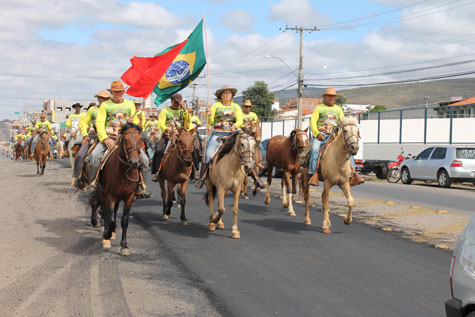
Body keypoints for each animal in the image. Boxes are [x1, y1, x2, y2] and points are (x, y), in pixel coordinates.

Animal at [89, 122, 145, 256]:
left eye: (140, 139)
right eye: (125, 139)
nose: (135, 162)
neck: (122, 172)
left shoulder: (129, 196)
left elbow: (124, 220)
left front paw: (124, 245)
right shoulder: (110, 195)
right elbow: (111, 218)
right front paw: (106, 235)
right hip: (102, 192)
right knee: (102, 209)